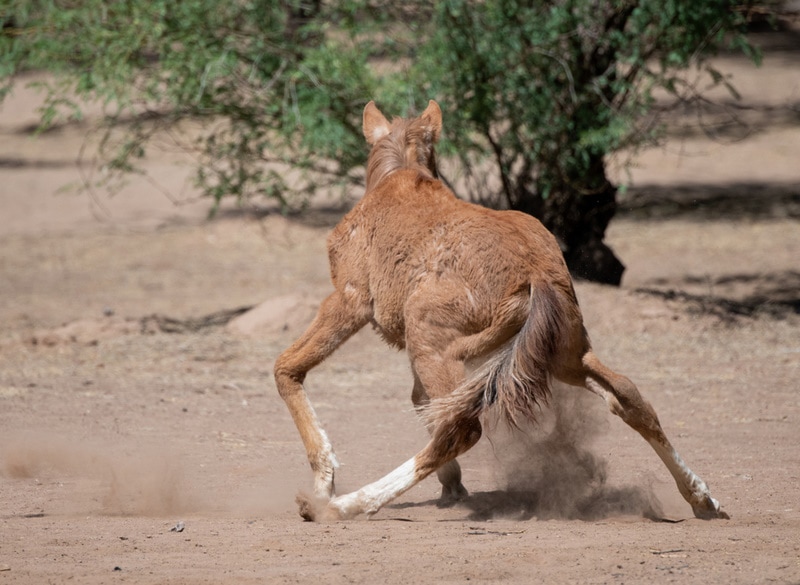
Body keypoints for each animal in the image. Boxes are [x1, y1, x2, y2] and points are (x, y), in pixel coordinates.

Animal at [272, 99, 728, 520]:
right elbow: (420, 402)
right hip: (565, 356)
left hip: (433, 345)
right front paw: (452, 489)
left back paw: (340, 506)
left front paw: (325, 480)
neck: (396, 178)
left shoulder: (349, 301)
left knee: (459, 430)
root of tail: (534, 275)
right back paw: (703, 498)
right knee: (630, 398)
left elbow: (287, 368)